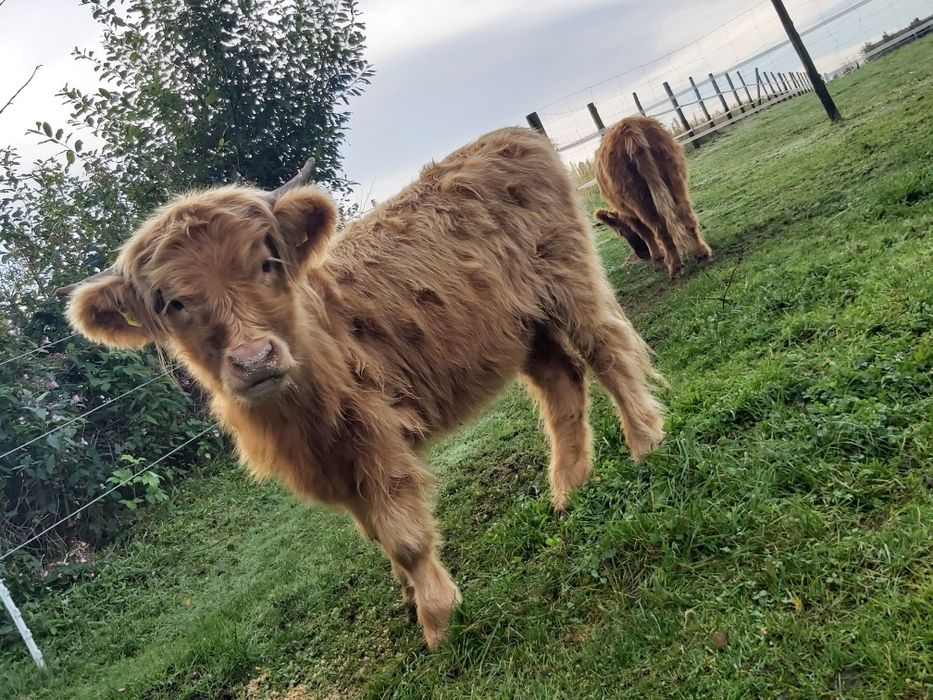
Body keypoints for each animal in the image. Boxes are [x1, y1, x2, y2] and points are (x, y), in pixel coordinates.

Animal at [62, 129, 668, 648]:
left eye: (267, 262)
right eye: (173, 303)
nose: (254, 359)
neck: (297, 410)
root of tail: (514, 136)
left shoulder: (374, 435)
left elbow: (403, 534)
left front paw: (438, 620)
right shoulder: (335, 465)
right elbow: (377, 535)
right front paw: (408, 597)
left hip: (568, 277)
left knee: (608, 350)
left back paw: (646, 444)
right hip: (524, 326)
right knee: (560, 382)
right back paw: (568, 488)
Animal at [592, 116, 708, 278]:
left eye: (621, 233)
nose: (642, 255)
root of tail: (629, 128)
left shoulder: (630, 215)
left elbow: (645, 234)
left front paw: (658, 259)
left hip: (640, 199)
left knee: (661, 230)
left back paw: (674, 268)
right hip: (675, 181)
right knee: (686, 216)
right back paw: (702, 255)